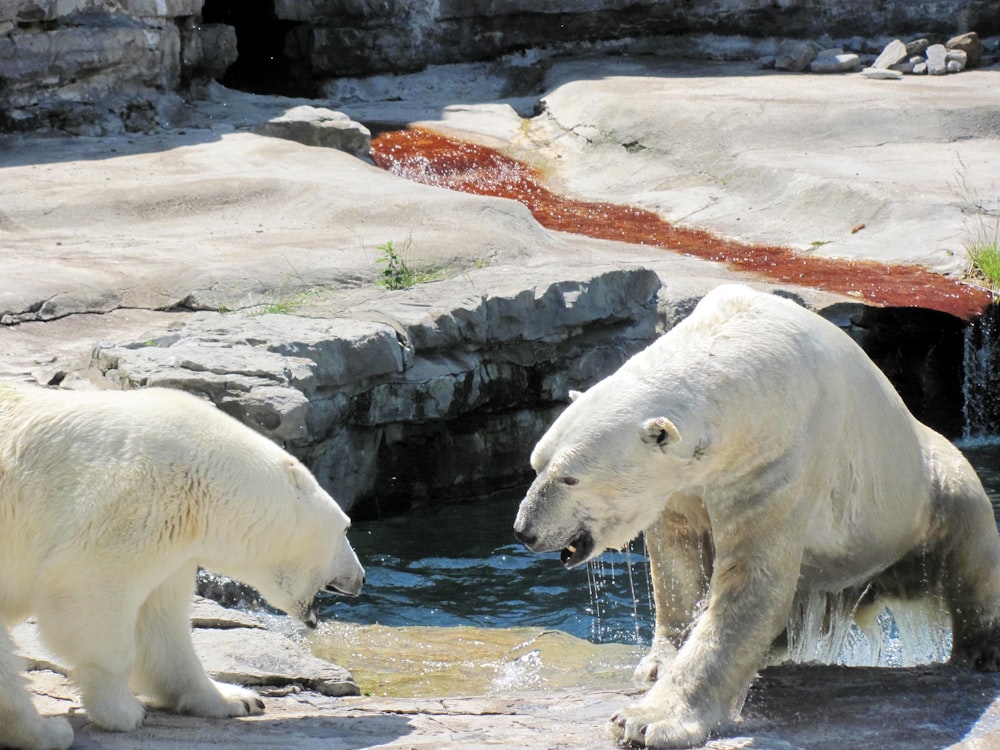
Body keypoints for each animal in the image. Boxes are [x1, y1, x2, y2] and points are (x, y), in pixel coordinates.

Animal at [0, 388, 366, 750]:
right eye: (346, 528)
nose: (360, 579)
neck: (204, 477)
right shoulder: (131, 508)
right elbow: (89, 593)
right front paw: (123, 712)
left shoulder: (172, 541)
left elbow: (161, 627)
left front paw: (237, 698)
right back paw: (48, 732)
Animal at [516, 284, 1000, 748]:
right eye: (536, 464)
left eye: (570, 478)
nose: (524, 531)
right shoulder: (685, 482)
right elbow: (676, 560)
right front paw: (656, 664)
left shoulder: (774, 456)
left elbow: (751, 583)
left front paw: (645, 720)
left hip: (927, 494)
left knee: (970, 552)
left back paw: (980, 650)